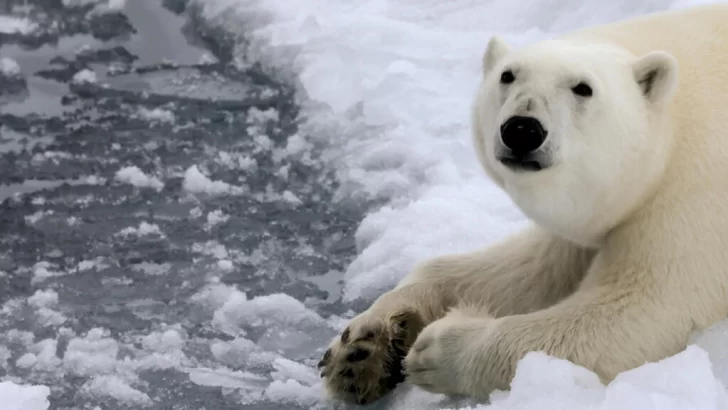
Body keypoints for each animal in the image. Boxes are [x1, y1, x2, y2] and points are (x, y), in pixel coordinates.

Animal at [318, 4, 728, 404]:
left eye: (583, 88)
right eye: (508, 75)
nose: (522, 129)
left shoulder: (695, 192)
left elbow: (640, 313)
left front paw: (439, 349)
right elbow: (526, 269)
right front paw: (361, 349)